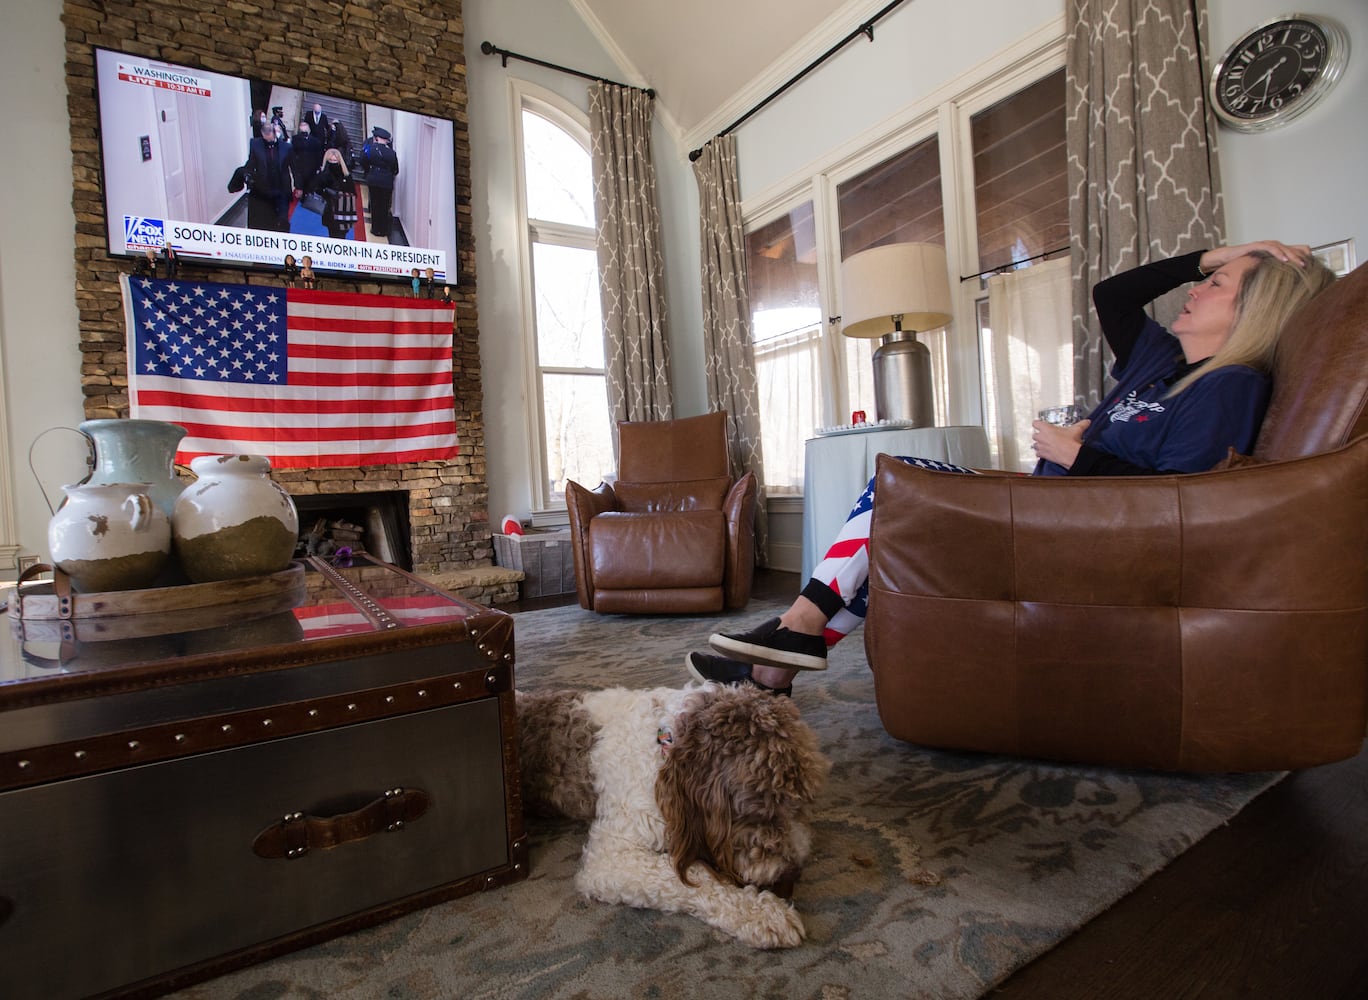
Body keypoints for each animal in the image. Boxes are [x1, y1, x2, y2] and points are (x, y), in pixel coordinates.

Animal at [517, 683, 826, 952]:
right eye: (764, 811)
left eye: (801, 804)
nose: (791, 878)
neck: (665, 745)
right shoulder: (609, 857)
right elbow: (686, 876)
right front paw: (765, 914)